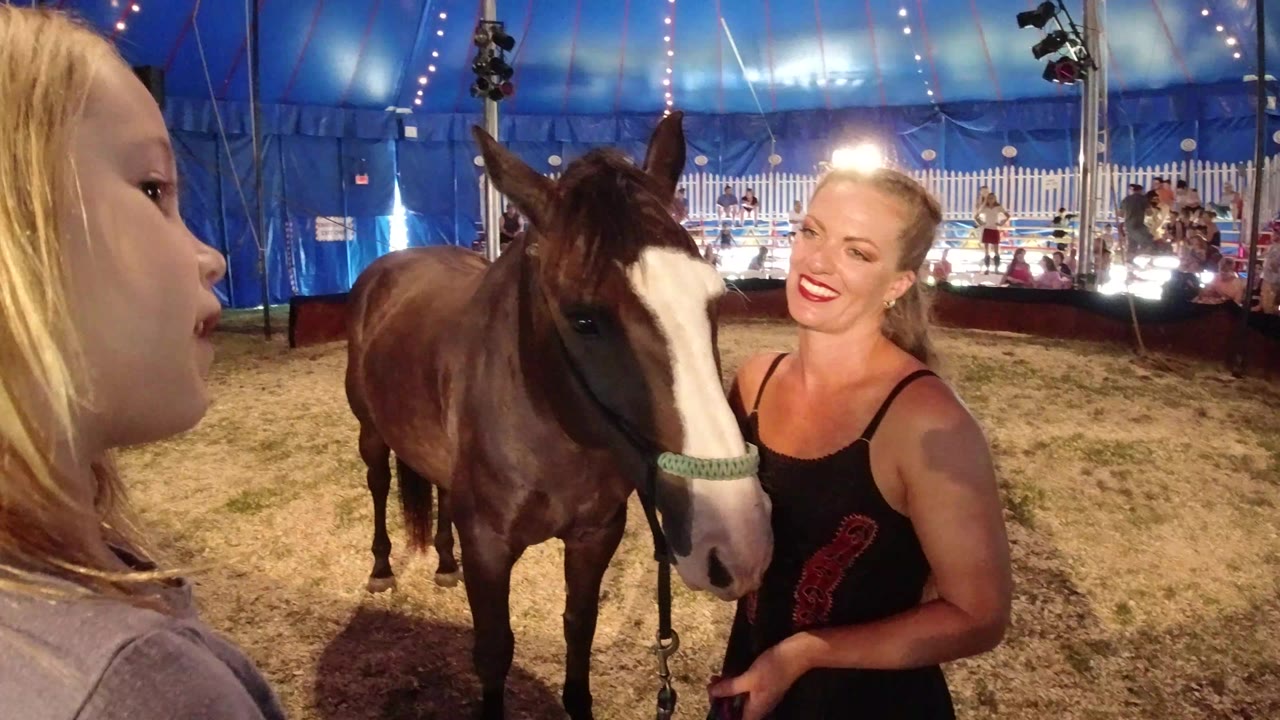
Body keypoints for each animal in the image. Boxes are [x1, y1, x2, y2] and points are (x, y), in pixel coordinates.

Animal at [343, 112, 773, 720]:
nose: (740, 545)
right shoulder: (488, 547)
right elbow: (494, 652)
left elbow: (579, 630)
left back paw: (444, 565)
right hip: (371, 433)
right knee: (379, 484)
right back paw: (382, 569)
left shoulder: (595, 536)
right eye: (584, 319)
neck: (555, 435)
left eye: (715, 299)